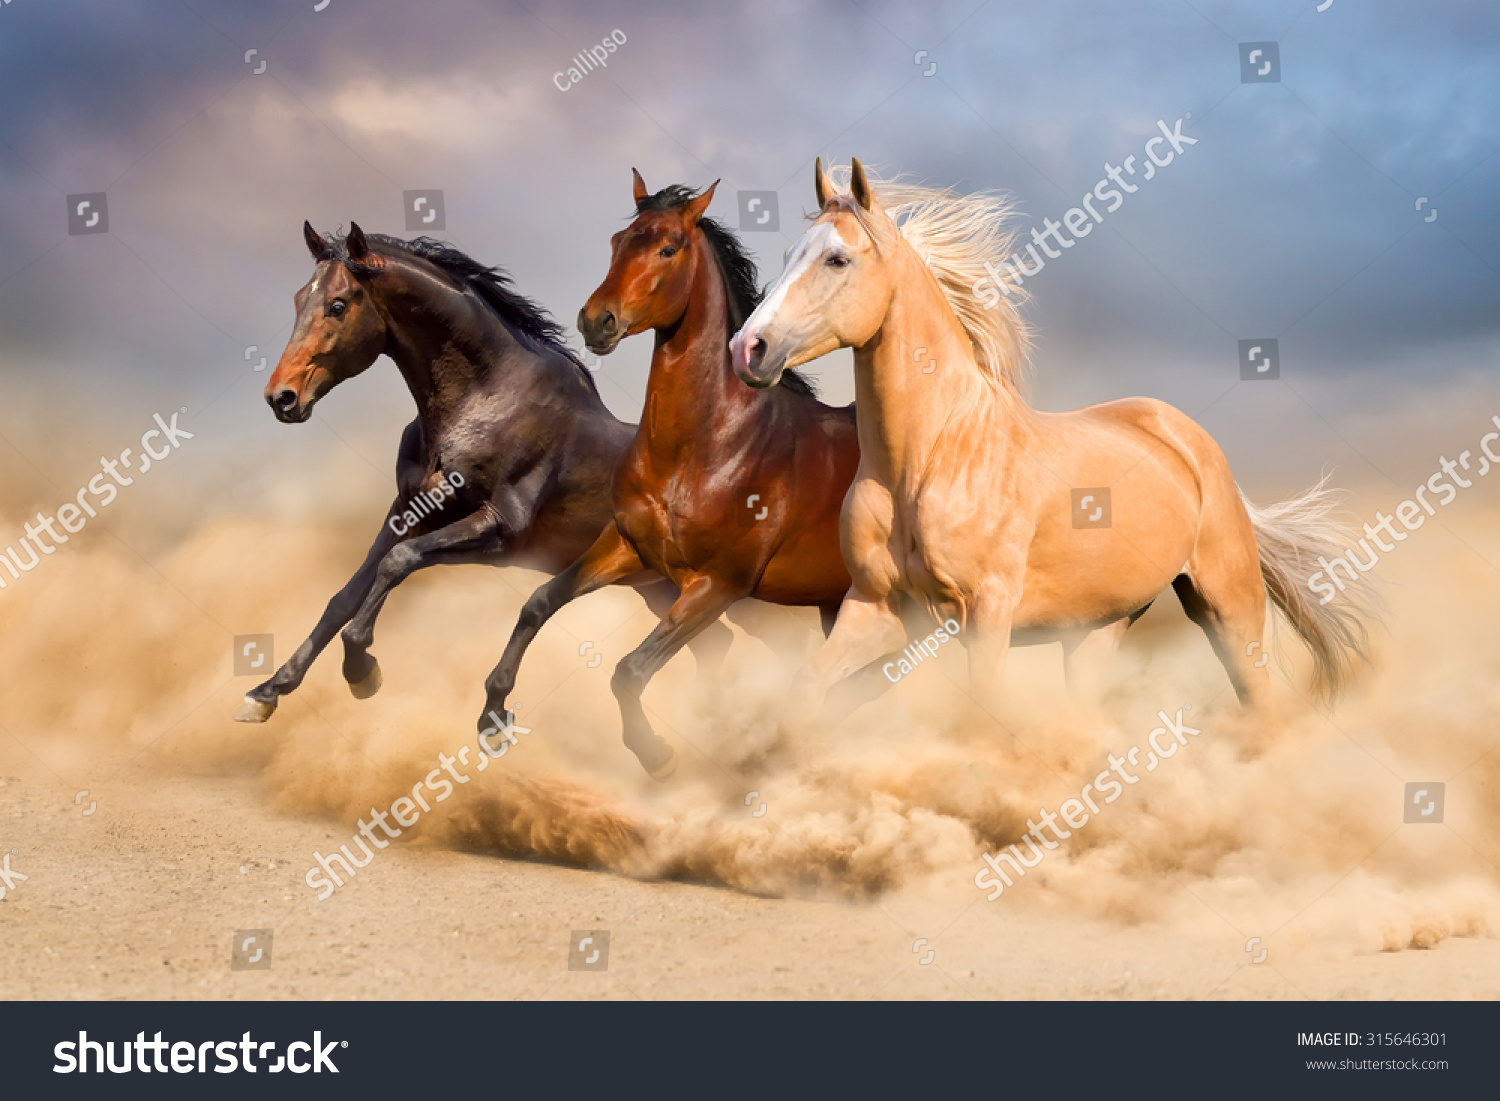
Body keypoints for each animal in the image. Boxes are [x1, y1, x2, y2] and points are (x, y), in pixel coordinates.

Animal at [232, 220, 744, 723]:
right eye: (299, 299)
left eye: (337, 305)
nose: (282, 398)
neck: (484, 400)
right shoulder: (408, 511)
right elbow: (347, 594)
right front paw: (266, 692)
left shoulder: (498, 529)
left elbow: (399, 562)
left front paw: (362, 670)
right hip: (660, 587)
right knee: (714, 645)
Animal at [477, 171, 861, 779]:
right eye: (618, 241)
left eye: (668, 247)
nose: (597, 320)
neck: (707, 447)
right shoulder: (630, 548)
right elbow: (540, 601)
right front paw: (492, 716)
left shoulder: (717, 586)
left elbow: (630, 670)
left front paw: (656, 754)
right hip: (833, 606)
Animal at [729, 159, 1375, 718]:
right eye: (788, 254)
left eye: (837, 259)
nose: (748, 348)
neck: (929, 459)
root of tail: (1191, 442)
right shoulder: (877, 610)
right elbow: (808, 687)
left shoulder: (985, 612)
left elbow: (982, 712)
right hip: (1096, 632)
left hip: (1229, 611)